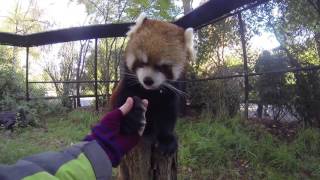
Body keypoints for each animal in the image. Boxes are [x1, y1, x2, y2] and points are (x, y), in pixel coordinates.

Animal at [110, 14, 195, 154]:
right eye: (142, 62)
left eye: (163, 67)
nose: (148, 80)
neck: (149, 92)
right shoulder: (127, 86)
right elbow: (123, 103)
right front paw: (131, 119)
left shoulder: (170, 94)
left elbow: (167, 115)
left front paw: (166, 140)